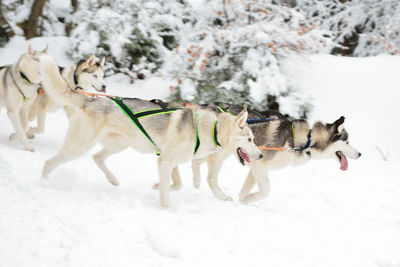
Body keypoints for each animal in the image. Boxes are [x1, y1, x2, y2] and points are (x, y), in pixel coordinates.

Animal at [36, 53, 262, 208]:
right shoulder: (165, 161)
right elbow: (168, 192)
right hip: (79, 146)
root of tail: (91, 99)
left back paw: (113, 179)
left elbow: (176, 184)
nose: (260, 155)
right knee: (49, 162)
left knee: (97, 158)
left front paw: (158, 187)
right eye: (250, 139)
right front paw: (167, 205)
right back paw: (44, 184)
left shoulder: (169, 162)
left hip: (119, 144)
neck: (211, 128)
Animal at [189, 103, 360, 204]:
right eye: (347, 142)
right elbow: (266, 191)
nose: (360, 154)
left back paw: (196, 182)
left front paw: (244, 200)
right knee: (210, 178)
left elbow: (248, 189)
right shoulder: (259, 165)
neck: (306, 140)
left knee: (195, 162)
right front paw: (250, 198)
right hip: (221, 152)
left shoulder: (256, 167)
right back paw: (220, 195)